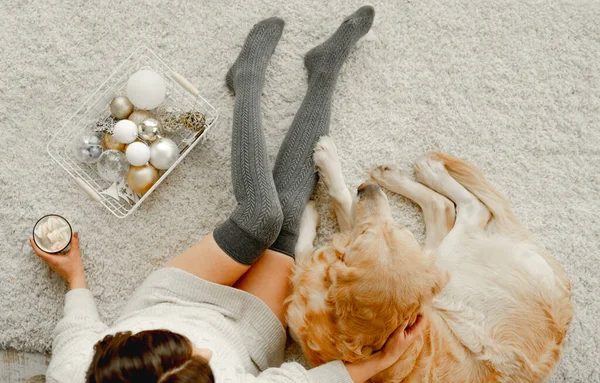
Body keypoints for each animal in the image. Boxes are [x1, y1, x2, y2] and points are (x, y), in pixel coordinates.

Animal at [288, 138, 576, 383]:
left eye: (365, 236)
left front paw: (324, 164)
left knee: (473, 210)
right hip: (435, 267)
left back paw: (426, 171)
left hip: (450, 261)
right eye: (400, 228)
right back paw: (399, 175)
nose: (367, 188)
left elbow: (339, 203)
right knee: (444, 207)